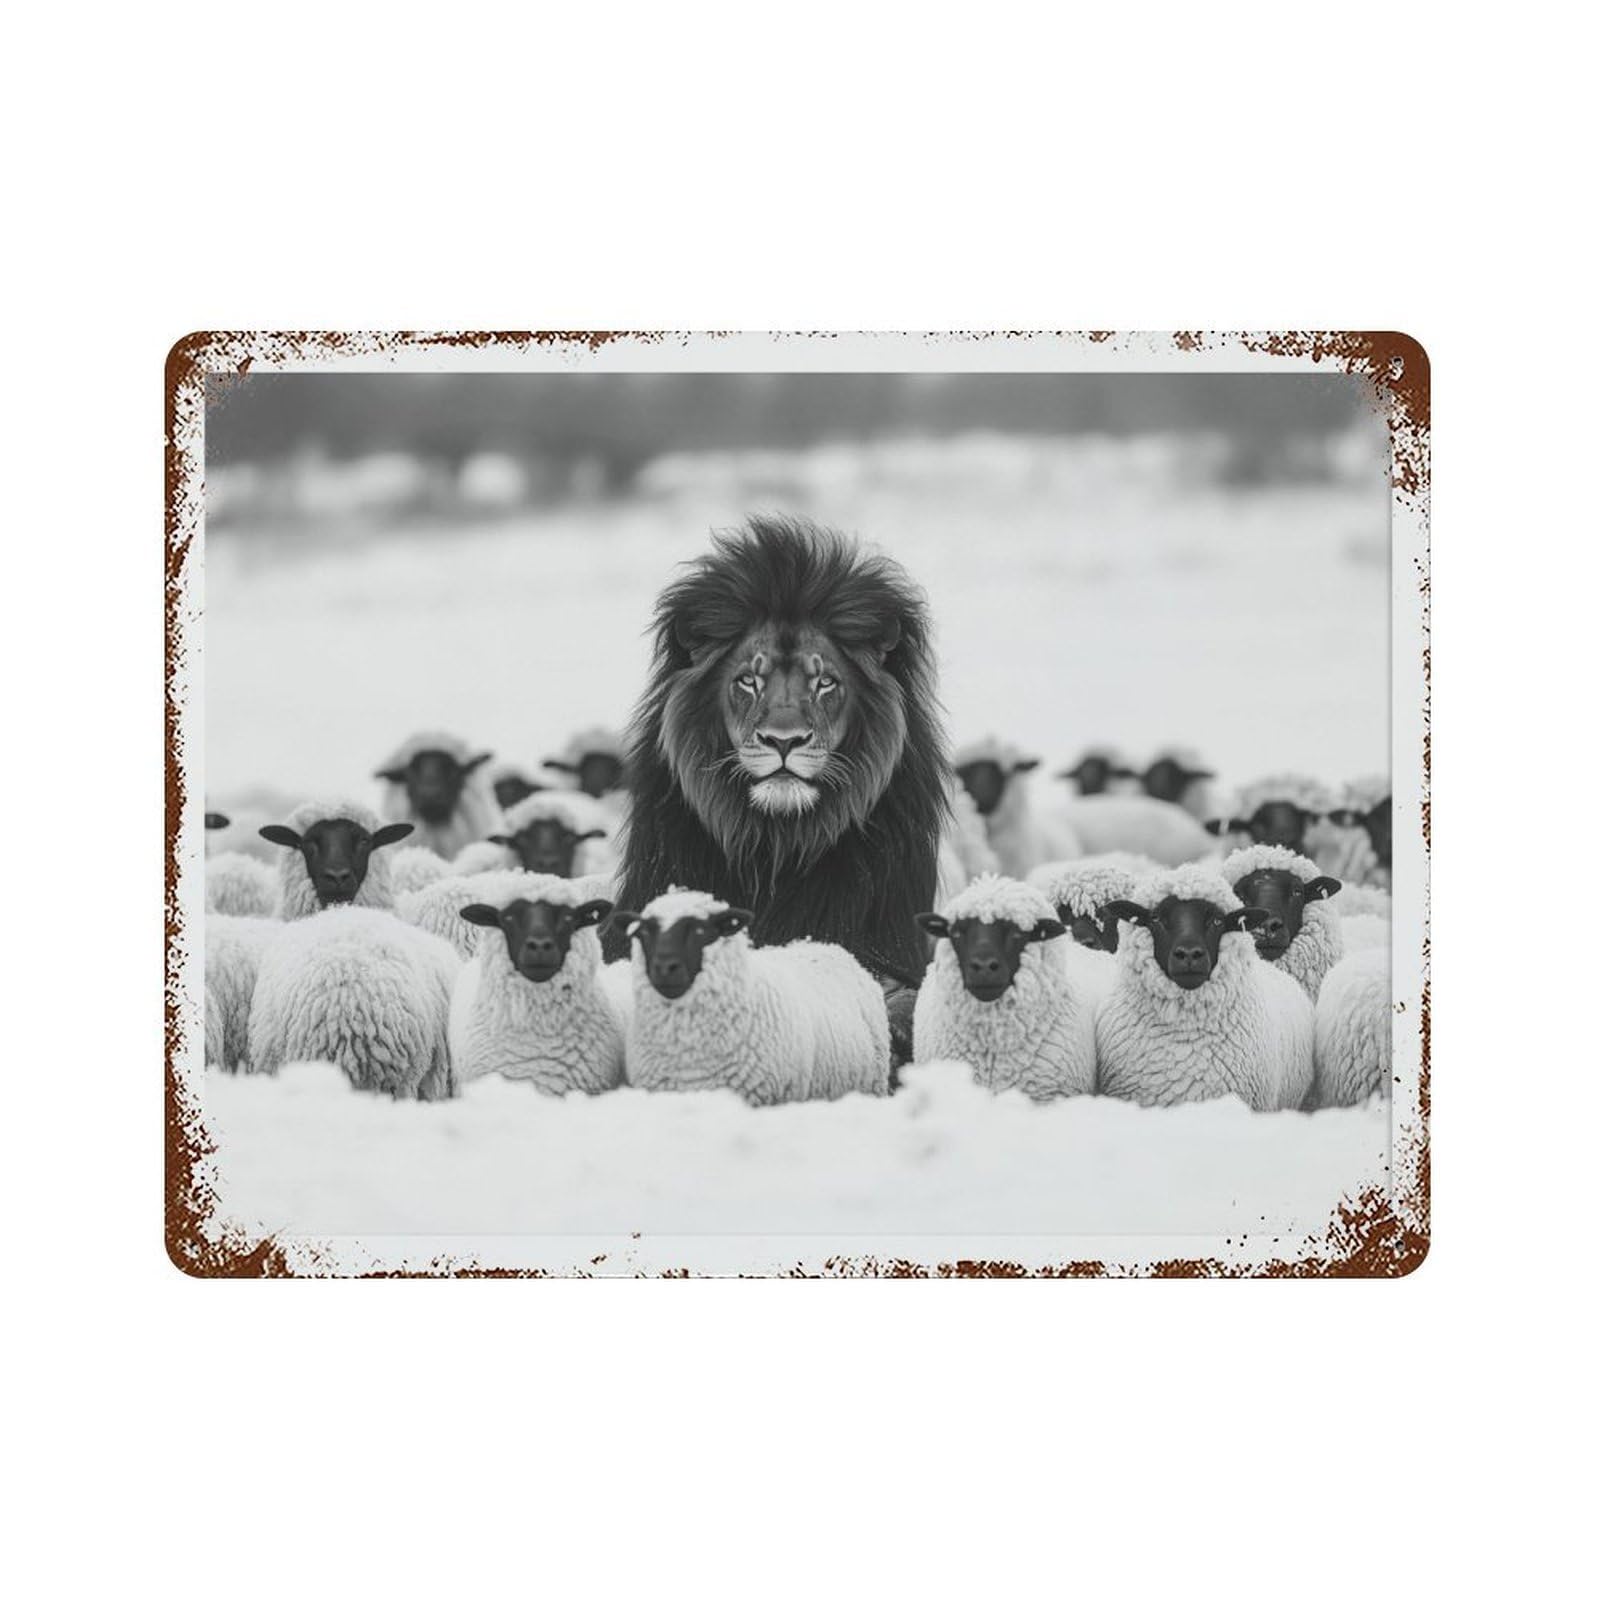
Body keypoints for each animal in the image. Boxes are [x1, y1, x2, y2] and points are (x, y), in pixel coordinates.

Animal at [606, 515, 951, 1046]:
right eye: (749, 681)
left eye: (825, 682)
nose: (783, 741)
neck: (777, 847)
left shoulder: (881, 949)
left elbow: (896, 996)